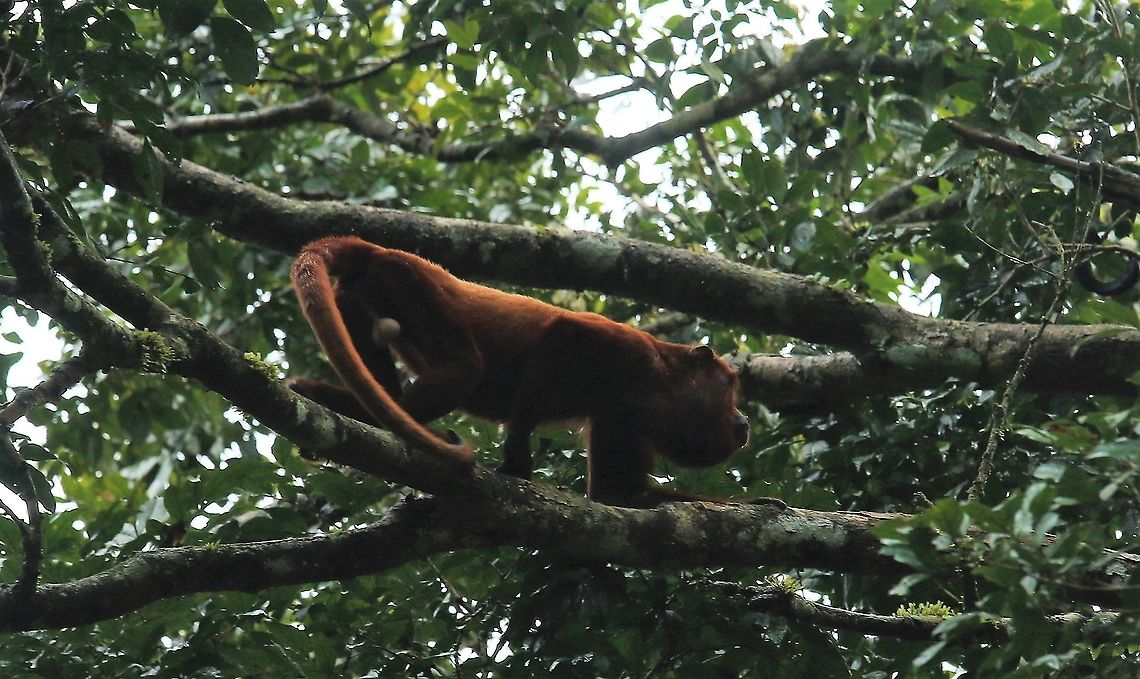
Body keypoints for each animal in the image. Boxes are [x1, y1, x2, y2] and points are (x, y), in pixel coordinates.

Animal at [289, 235, 755, 508]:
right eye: (731, 387)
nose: (744, 419)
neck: (656, 382)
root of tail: (378, 251)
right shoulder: (626, 349)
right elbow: (561, 335)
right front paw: (515, 455)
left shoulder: (621, 418)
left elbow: (619, 495)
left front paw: (762, 506)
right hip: (407, 283)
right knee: (466, 369)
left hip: (358, 297)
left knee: (382, 386)